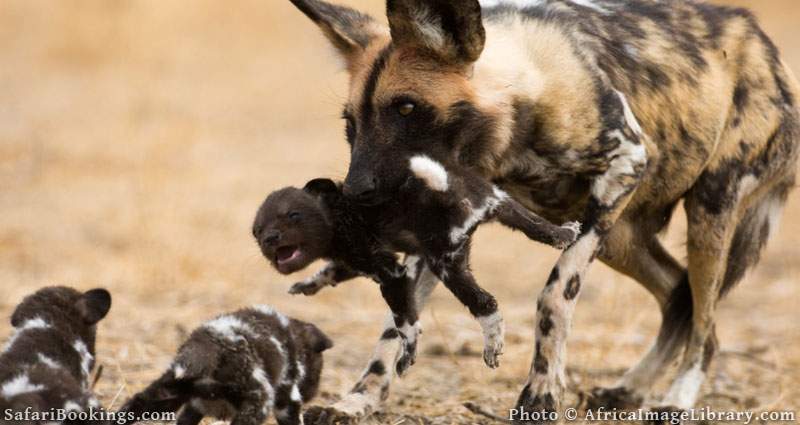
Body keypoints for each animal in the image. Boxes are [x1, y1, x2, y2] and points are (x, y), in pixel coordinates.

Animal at [118, 304, 332, 424]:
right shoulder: (287, 399)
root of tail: (208, 342)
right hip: (258, 399)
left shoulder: (193, 408)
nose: (313, 393)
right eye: (319, 367)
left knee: (135, 403)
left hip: (166, 391)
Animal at [253, 153, 580, 372]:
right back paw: (566, 232)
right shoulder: (359, 261)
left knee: (486, 304)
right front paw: (309, 284)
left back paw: (492, 345)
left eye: (294, 215)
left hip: (446, 264)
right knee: (539, 228)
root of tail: (445, 189)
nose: (269, 238)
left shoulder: (389, 272)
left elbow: (405, 322)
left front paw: (407, 352)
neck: (335, 215)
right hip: (501, 204)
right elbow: (332, 271)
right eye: (257, 231)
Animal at [288, 0, 800, 420]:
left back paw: (677, 397)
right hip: (621, 240)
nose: (356, 192)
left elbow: (555, 292)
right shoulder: (439, 219)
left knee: (705, 318)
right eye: (351, 125)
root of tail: (763, 43)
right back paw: (629, 390)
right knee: (681, 298)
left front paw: (541, 392)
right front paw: (358, 400)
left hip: (708, 213)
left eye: (407, 108)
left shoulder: (627, 163)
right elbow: (396, 324)